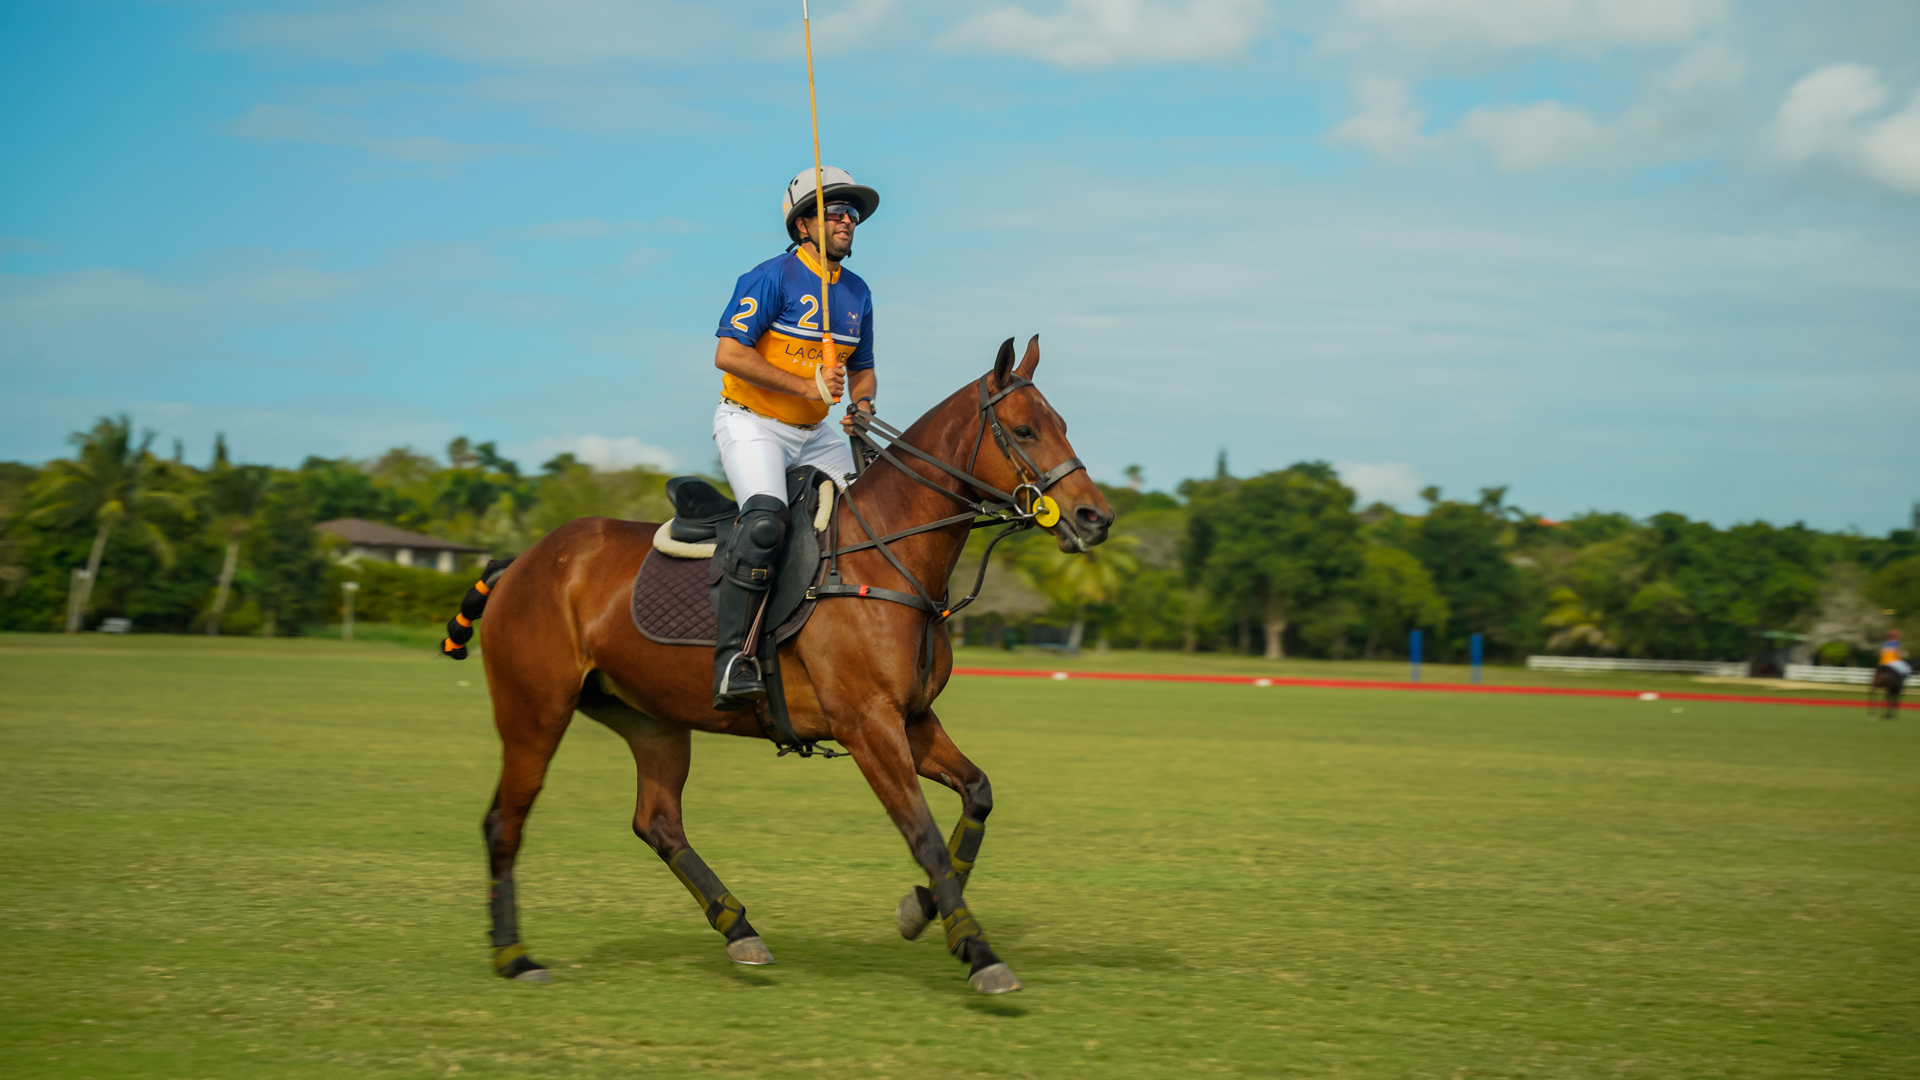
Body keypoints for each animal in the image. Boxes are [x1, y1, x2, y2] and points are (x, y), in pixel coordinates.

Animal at [460, 336, 1113, 991]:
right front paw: (979, 953)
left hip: (650, 719)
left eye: (1062, 424)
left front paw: (922, 909)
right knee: (504, 820)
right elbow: (923, 835)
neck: (887, 556)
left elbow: (977, 794)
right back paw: (514, 956)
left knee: (658, 820)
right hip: (535, 711)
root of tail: (521, 562)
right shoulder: (867, 725)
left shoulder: (912, 719)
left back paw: (738, 929)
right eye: (1025, 430)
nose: (1095, 518)